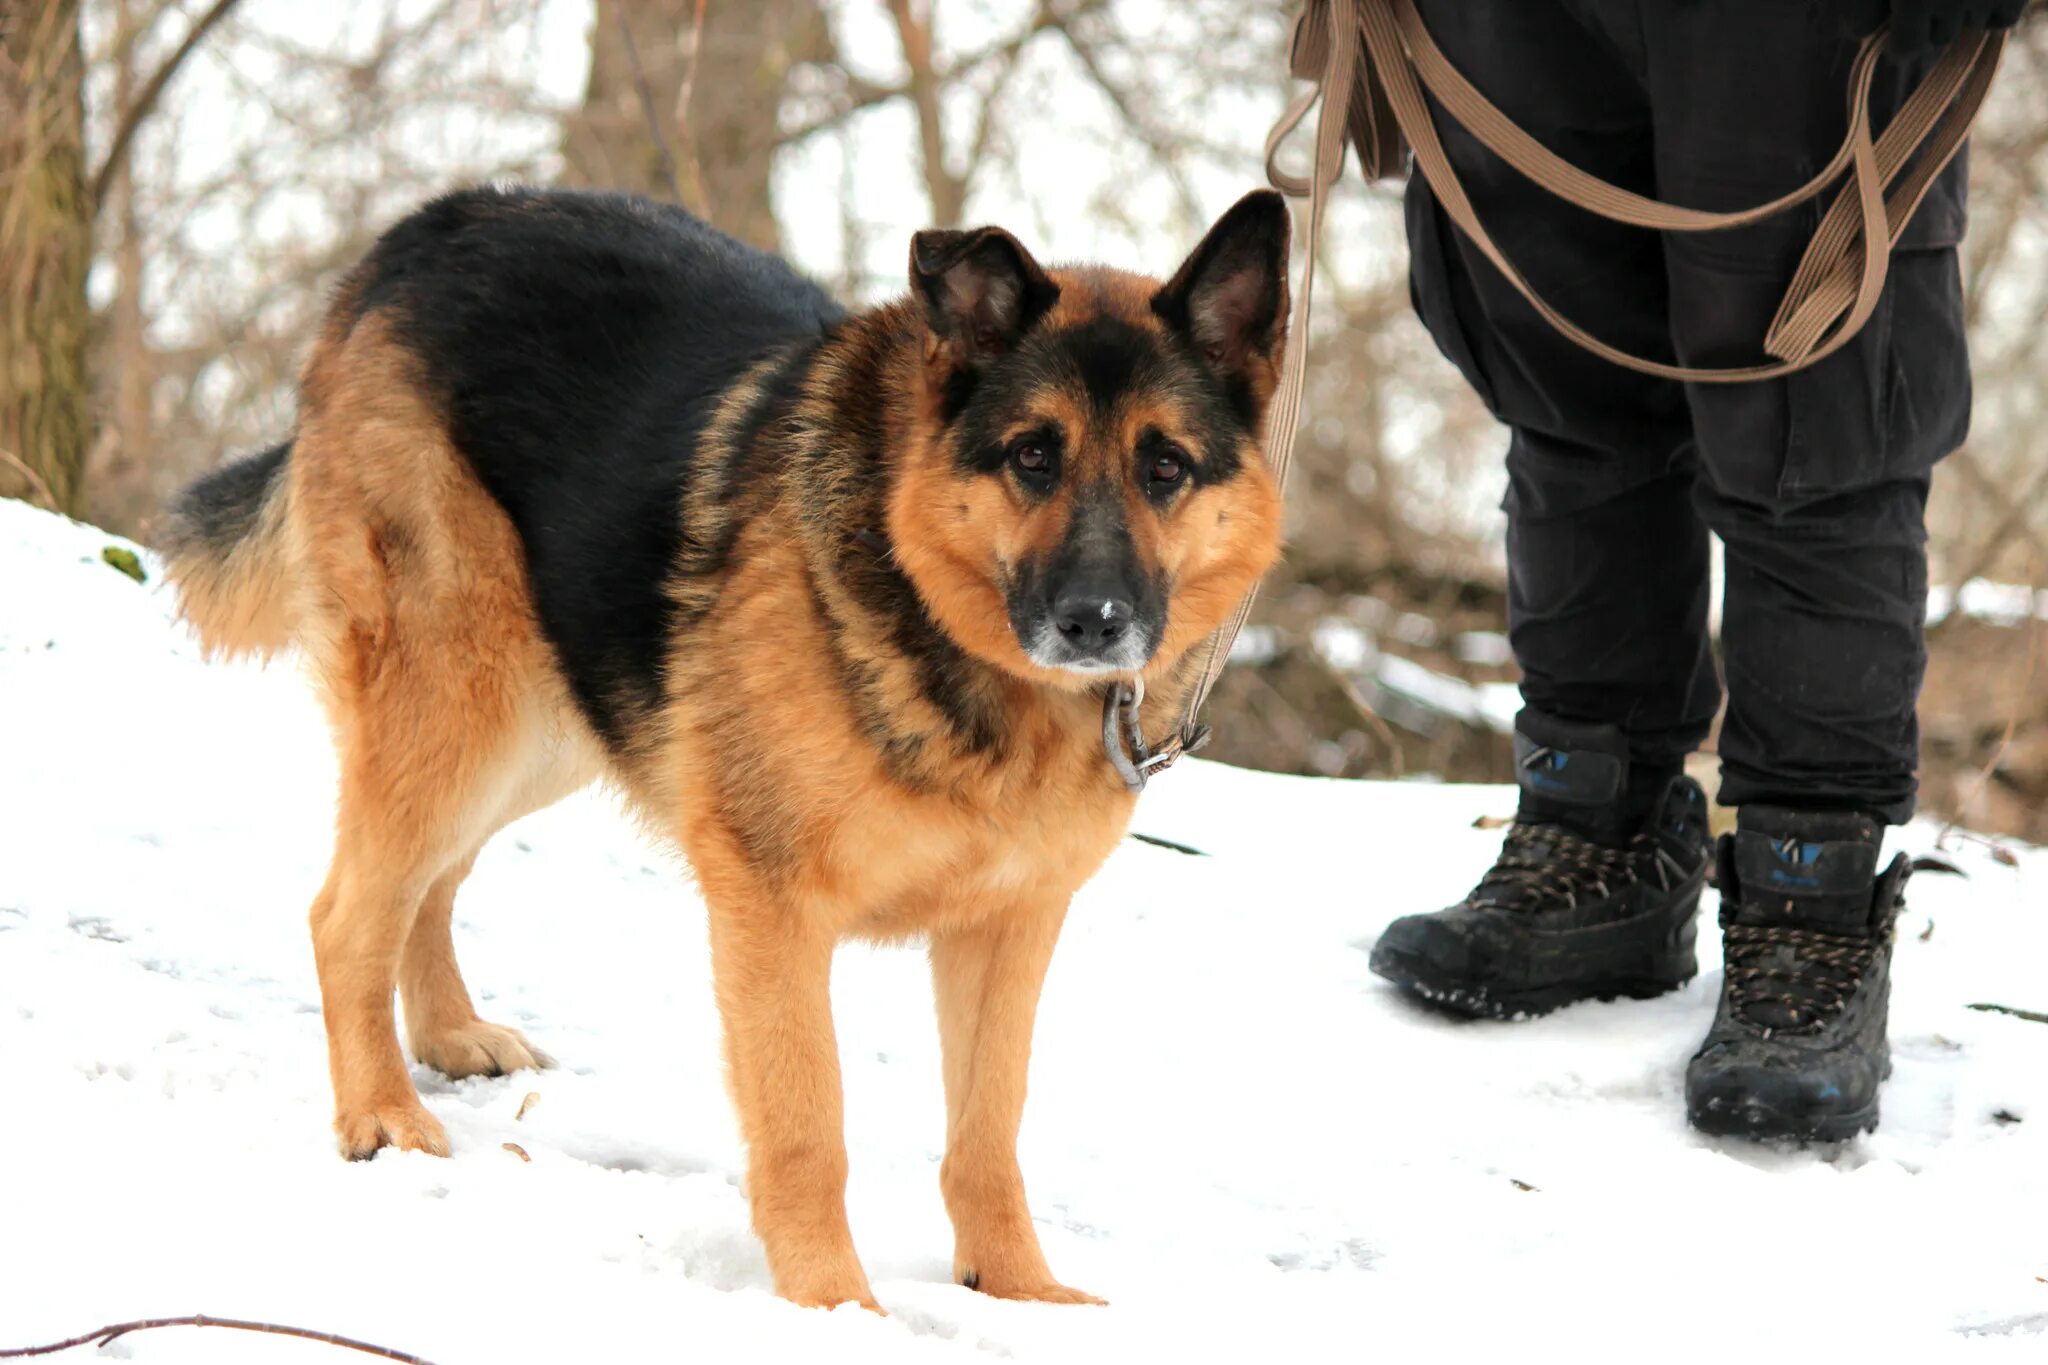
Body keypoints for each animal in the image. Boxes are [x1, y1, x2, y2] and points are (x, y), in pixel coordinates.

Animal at [163, 184, 1277, 1309]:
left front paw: (1017, 1292)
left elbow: (987, 1130)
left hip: (546, 721)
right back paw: (381, 1115)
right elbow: (807, 1124)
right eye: (1032, 455)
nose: (1094, 622)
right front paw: (834, 1307)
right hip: (463, 701)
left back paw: (445, 1034)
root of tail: (437, 220)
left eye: (1165, 468)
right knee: (349, 910)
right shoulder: (773, 908)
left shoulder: (1007, 929)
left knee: (426, 881)